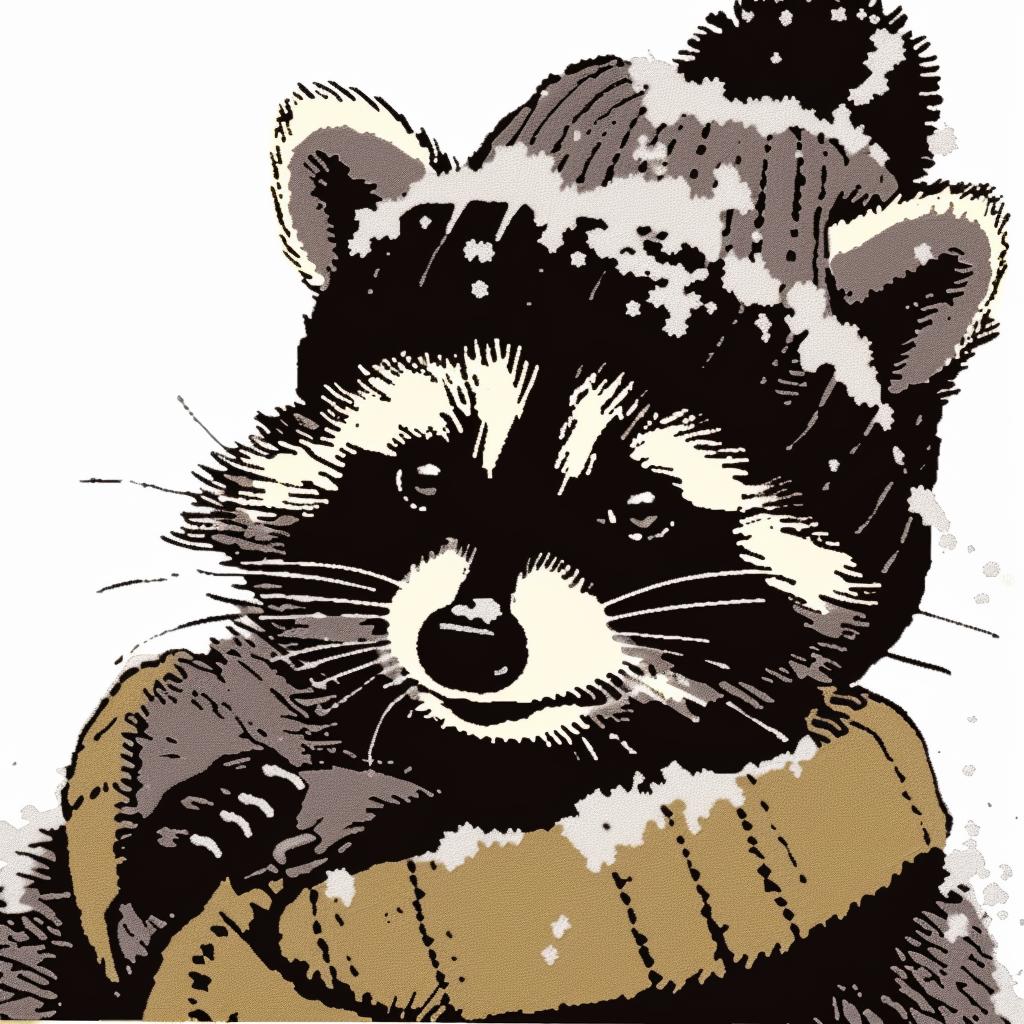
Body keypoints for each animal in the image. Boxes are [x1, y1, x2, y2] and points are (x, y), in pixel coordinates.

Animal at [0, 0, 1012, 1020]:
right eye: (425, 477)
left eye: (639, 509)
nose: (467, 641)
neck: (475, 751)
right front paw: (172, 861)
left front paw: (372, 808)